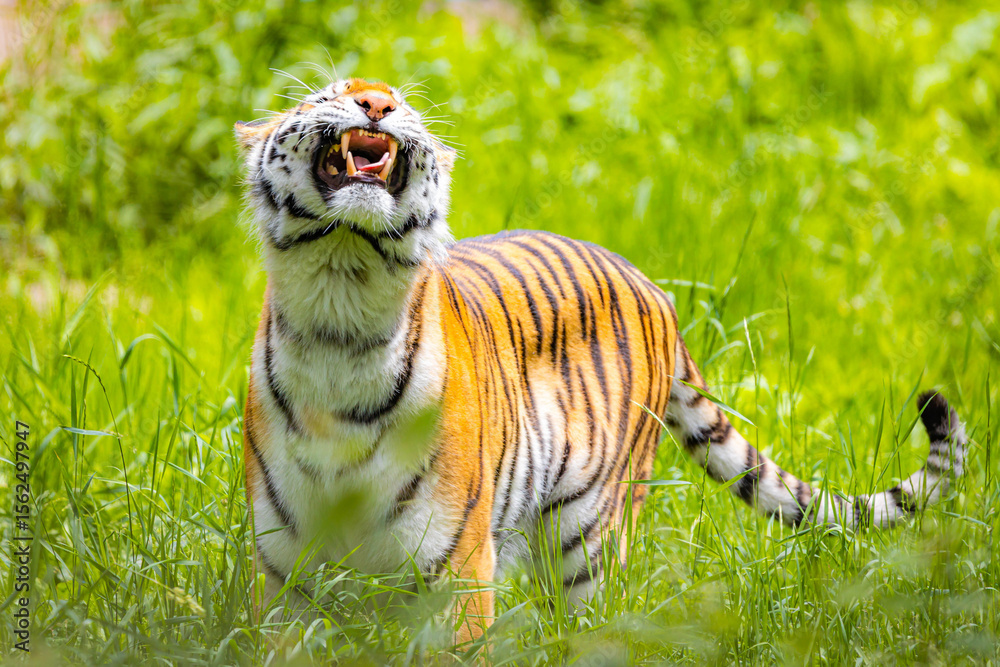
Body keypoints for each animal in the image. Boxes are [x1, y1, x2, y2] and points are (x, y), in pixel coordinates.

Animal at [235, 77, 969, 642]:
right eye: (326, 94)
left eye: (405, 104)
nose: (377, 103)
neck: (341, 312)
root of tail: (656, 289)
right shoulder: (284, 571)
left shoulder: (454, 570)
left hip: (589, 535)